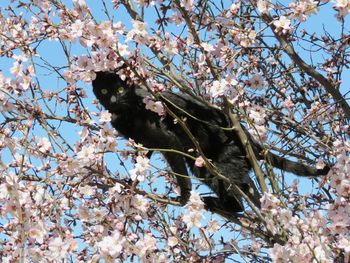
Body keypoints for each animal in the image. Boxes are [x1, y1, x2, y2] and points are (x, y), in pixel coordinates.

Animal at [91, 71, 330, 216]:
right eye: (104, 91)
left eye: (119, 89)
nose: (113, 100)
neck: (125, 113)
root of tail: (248, 138)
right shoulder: (144, 143)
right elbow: (140, 163)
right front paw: (129, 184)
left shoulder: (168, 140)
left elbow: (178, 170)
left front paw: (184, 196)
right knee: (244, 184)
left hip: (214, 163)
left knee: (236, 192)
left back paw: (223, 204)